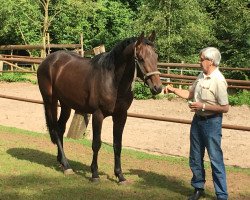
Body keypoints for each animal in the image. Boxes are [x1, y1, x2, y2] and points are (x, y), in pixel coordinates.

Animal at [36, 31, 162, 183]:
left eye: (156, 56)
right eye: (141, 58)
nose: (157, 88)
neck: (113, 80)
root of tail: (48, 60)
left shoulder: (121, 116)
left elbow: (117, 145)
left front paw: (120, 176)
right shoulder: (98, 115)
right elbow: (96, 144)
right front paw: (95, 174)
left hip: (66, 104)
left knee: (60, 129)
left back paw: (62, 162)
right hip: (50, 101)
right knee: (54, 129)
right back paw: (66, 166)